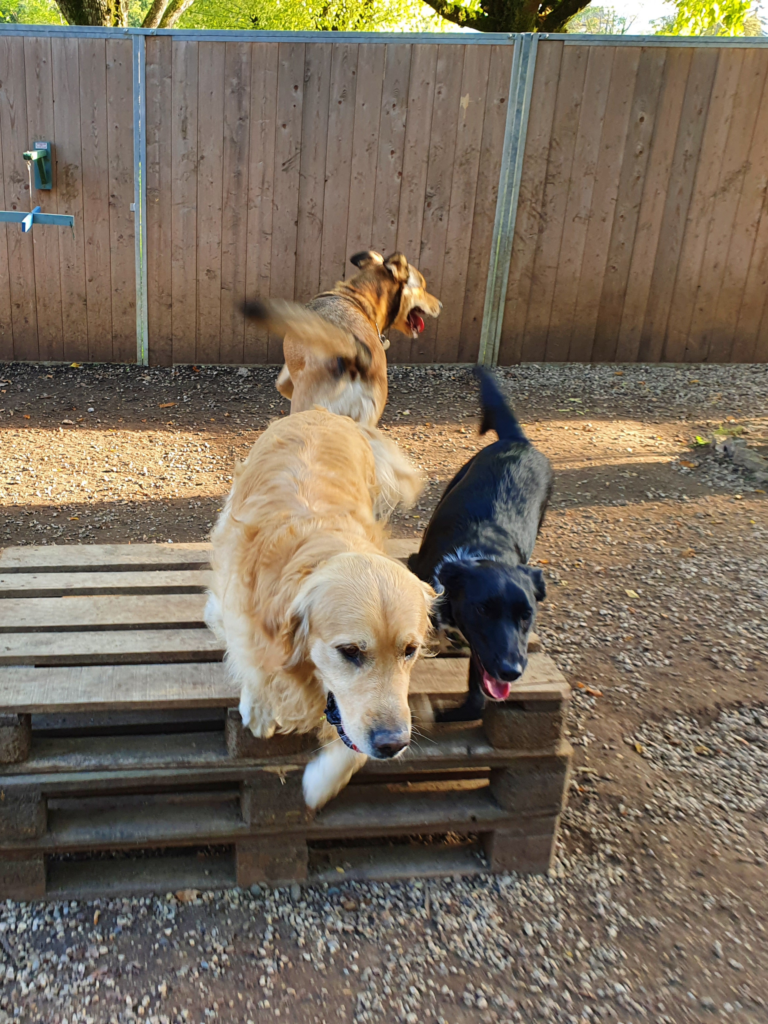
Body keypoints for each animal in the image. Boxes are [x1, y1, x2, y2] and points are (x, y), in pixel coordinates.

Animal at [204, 405, 436, 806]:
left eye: (410, 650)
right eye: (350, 651)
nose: (393, 744)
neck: (324, 544)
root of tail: (323, 411)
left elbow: (351, 742)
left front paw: (321, 782)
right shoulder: (240, 599)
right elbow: (249, 656)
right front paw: (259, 707)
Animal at [409, 368, 552, 720]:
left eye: (527, 615)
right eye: (483, 610)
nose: (511, 671)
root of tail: (518, 441)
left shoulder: (484, 651)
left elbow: (476, 696)